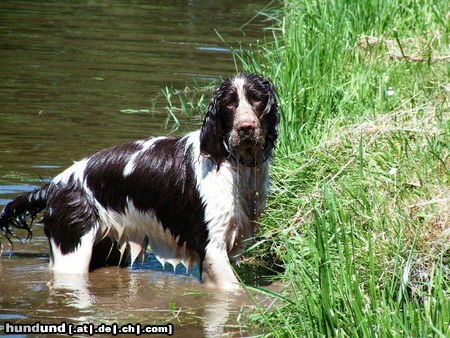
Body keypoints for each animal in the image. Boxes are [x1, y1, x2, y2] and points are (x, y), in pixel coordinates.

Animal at [0, 72, 280, 290]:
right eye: (229, 104)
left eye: (257, 98)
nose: (246, 128)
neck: (233, 163)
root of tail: (54, 184)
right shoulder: (212, 247)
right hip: (73, 246)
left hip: (107, 249)